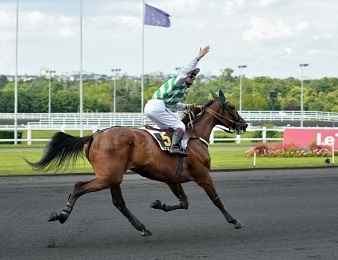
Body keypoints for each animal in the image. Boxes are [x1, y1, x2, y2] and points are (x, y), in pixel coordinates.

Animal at [26, 89, 247, 236]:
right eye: (232, 107)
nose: (244, 124)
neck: (193, 137)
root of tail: (96, 135)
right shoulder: (203, 175)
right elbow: (216, 199)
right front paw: (234, 220)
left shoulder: (173, 179)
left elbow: (184, 203)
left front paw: (159, 204)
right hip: (109, 176)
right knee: (79, 186)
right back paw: (62, 215)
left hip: (113, 177)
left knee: (119, 203)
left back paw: (142, 227)